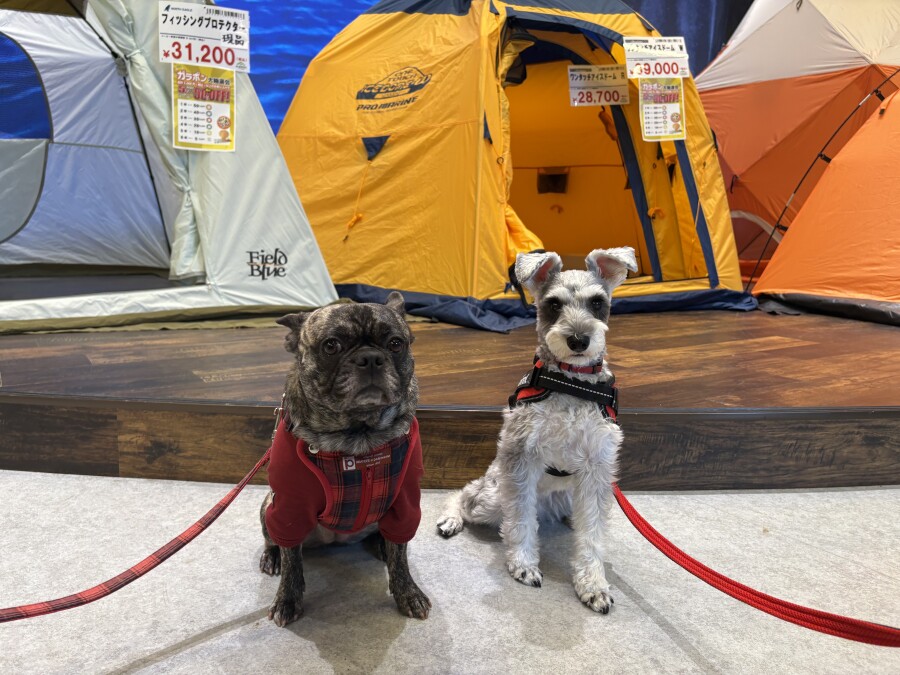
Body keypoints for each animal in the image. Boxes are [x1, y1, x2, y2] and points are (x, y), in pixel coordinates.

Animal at [259, 293, 431, 626]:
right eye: (331, 346)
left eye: (395, 343)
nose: (371, 358)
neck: (358, 435)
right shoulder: (288, 508)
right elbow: (292, 561)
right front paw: (287, 598)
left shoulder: (405, 502)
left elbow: (401, 556)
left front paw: (408, 591)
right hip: (267, 507)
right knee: (275, 541)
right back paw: (272, 557)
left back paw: (381, 544)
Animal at [436, 247, 637, 613]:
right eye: (553, 304)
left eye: (598, 302)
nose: (578, 340)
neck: (572, 383)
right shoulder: (520, 457)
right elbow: (519, 520)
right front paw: (523, 564)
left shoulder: (598, 469)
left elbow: (592, 533)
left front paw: (593, 583)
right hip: (492, 495)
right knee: (466, 494)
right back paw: (451, 518)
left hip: (567, 496)